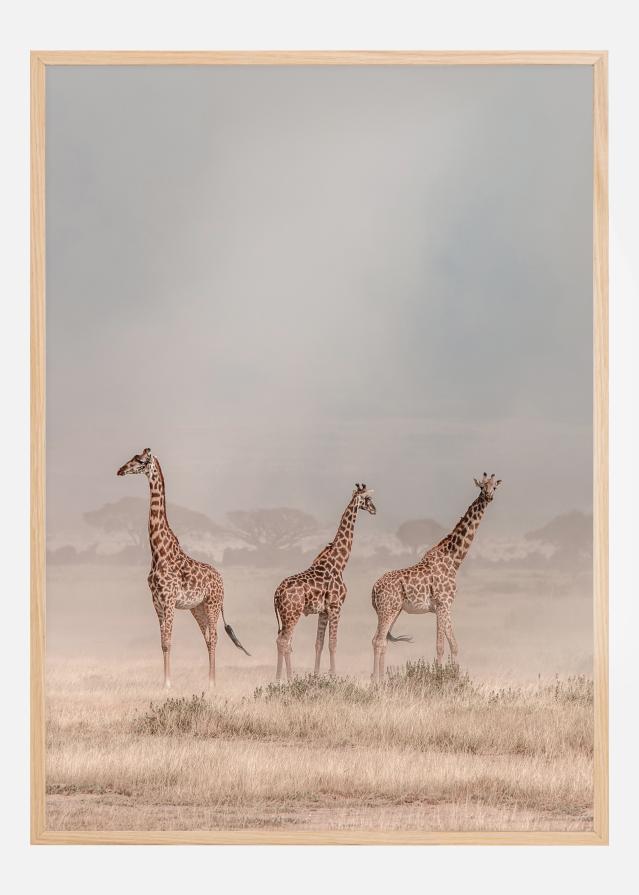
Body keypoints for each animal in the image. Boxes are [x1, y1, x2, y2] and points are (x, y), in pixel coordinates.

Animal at [117, 448, 250, 692]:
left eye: (140, 461)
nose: (120, 470)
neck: (158, 551)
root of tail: (221, 580)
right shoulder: (157, 602)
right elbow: (163, 643)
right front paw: (165, 682)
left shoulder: (169, 600)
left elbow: (168, 641)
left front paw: (167, 684)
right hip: (197, 608)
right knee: (207, 638)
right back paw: (209, 681)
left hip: (213, 604)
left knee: (214, 637)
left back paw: (212, 683)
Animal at [274, 486, 376, 684]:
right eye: (367, 498)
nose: (374, 509)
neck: (339, 563)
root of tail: (276, 594)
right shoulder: (336, 606)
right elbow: (333, 643)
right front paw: (334, 676)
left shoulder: (323, 611)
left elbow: (319, 643)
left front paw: (315, 676)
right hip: (292, 613)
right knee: (284, 641)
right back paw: (286, 679)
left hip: (285, 615)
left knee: (283, 641)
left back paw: (281, 678)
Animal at [372, 472, 502, 684]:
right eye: (482, 487)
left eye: (494, 487)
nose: (488, 496)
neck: (454, 560)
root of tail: (374, 589)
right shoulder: (442, 604)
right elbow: (440, 646)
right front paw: (439, 678)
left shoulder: (445, 606)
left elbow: (454, 644)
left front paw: (455, 677)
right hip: (387, 610)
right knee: (378, 640)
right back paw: (376, 681)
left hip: (393, 610)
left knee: (380, 641)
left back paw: (381, 679)